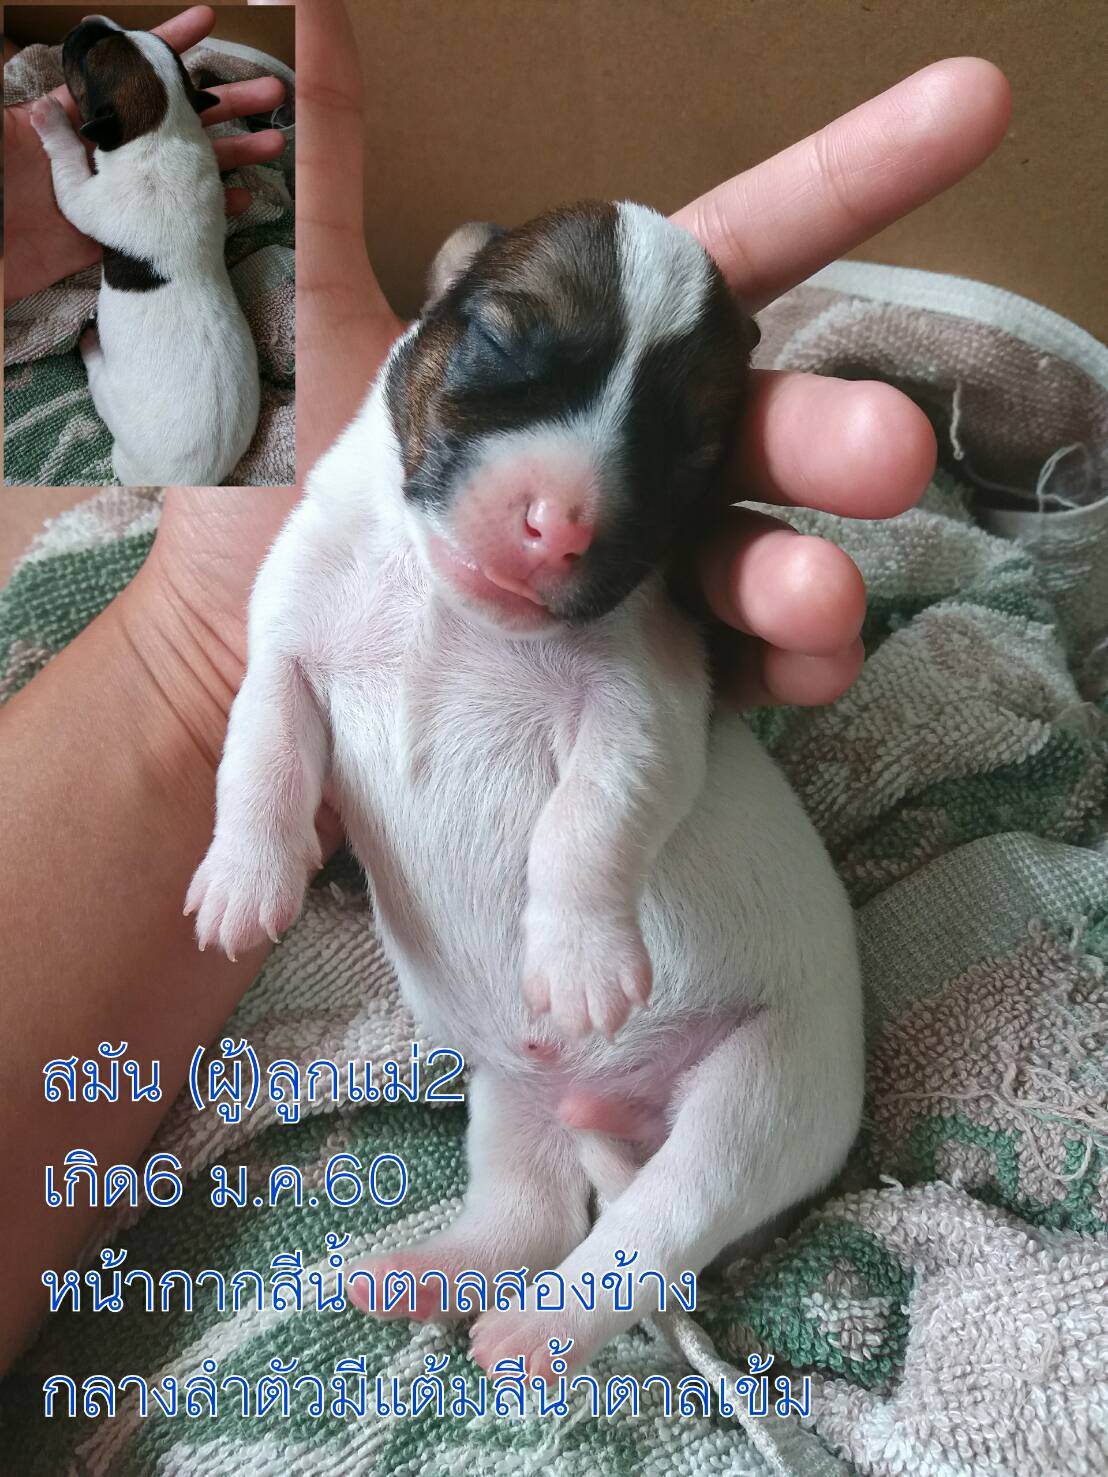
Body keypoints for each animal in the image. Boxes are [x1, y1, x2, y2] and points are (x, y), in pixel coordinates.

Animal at [29, 16, 260, 486]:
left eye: (86, 56)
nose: (90, 19)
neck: (161, 130)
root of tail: (195, 481)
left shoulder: (86, 198)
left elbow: (67, 166)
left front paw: (50, 117)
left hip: (115, 417)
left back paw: (90, 344)